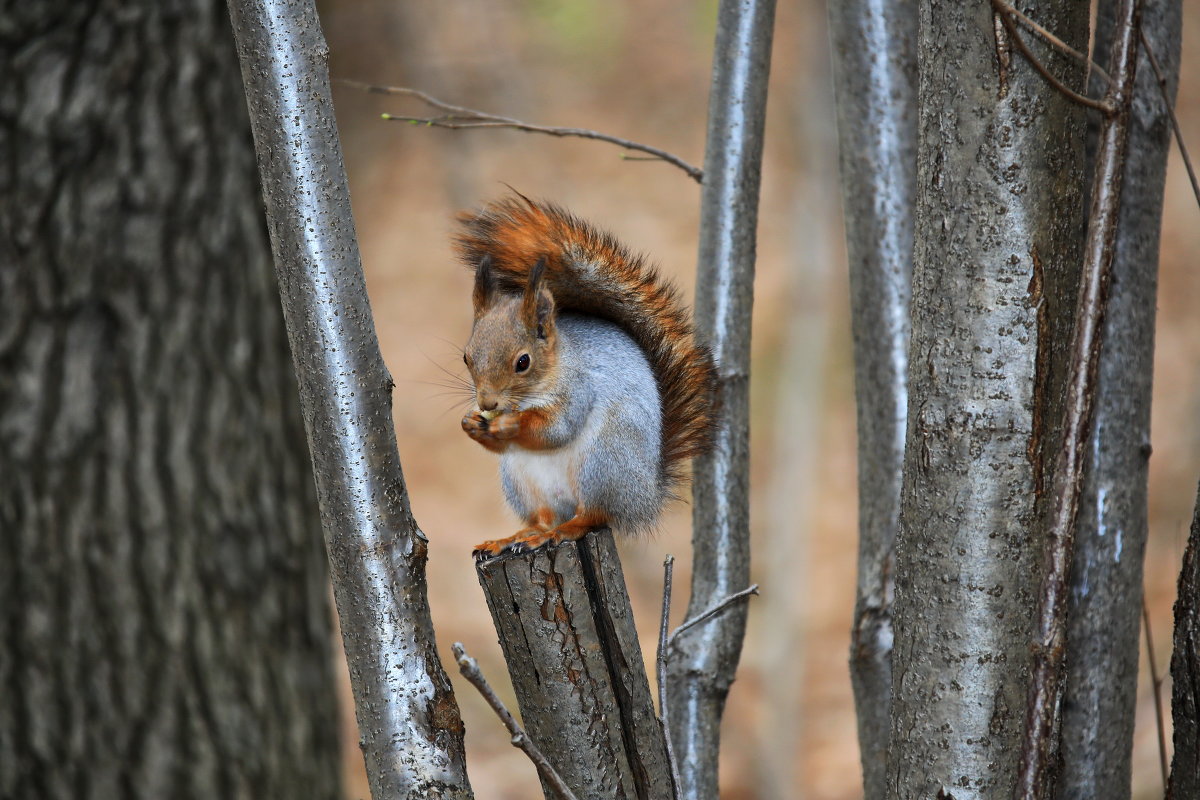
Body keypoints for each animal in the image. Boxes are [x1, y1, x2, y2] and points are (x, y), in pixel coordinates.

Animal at [451, 194, 710, 561]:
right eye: (466, 357)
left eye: (523, 362)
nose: (487, 403)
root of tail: (646, 498)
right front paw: (471, 423)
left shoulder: (580, 388)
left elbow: (557, 429)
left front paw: (511, 424)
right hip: (521, 480)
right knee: (543, 519)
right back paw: (519, 537)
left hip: (603, 463)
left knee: (593, 516)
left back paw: (563, 531)